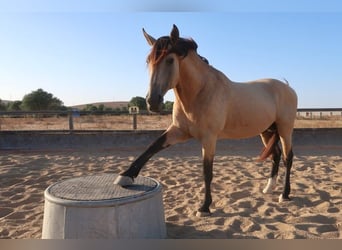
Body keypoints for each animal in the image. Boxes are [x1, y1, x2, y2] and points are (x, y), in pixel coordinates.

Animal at [114, 24, 296, 217]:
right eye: (149, 61)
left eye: (170, 60)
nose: (152, 102)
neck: (200, 93)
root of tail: (287, 87)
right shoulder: (178, 131)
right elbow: (152, 146)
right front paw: (125, 176)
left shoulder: (209, 138)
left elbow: (207, 172)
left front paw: (204, 207)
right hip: (266, 131)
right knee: (276, 155)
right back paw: (268, 188)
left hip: (285, 129)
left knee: (288, 157)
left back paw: (284, 195)